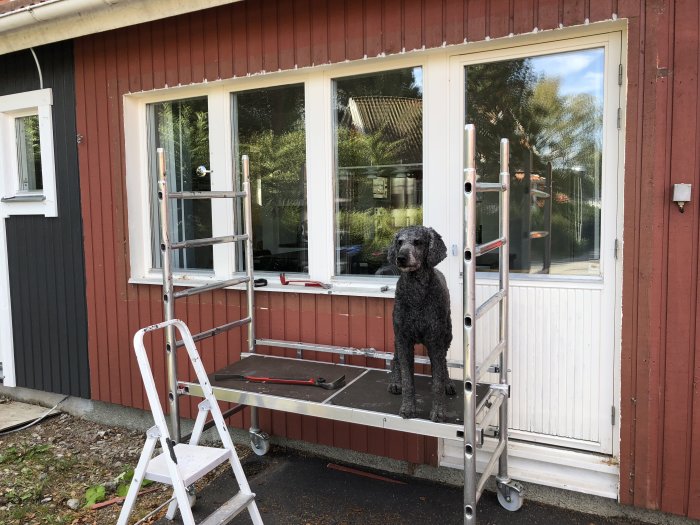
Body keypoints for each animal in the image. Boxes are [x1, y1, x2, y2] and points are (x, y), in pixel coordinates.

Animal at [386, 225, 456, 422]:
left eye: (418, 242)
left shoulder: (435, 341)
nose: (400, 257)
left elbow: (437, 381)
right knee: (395, 359)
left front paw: (438, 411)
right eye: (399, 242)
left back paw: (448, 382)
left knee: (444, 362)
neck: (416, 294)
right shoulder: (403, 338)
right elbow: (408, 380)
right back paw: (395, 381)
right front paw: (408, 407)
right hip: (397, 337)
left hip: (448, 334)